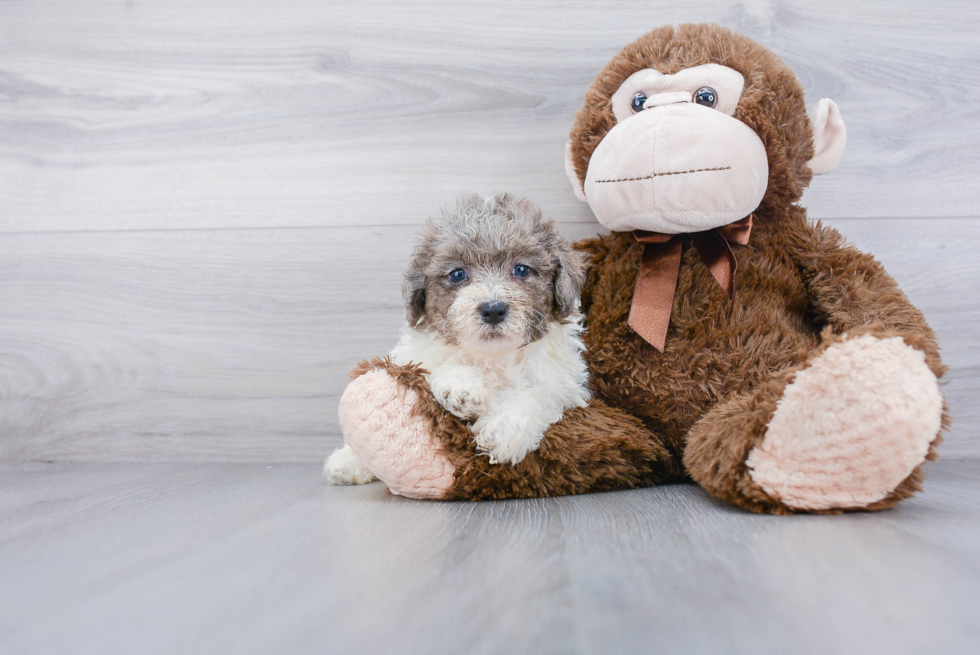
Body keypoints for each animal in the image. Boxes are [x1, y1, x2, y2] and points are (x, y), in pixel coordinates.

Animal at [328, 192, 588, 484]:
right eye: (457, 274)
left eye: (521, 270)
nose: (493, 309)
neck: (493, 356)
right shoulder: (415, 355)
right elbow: (433, 365)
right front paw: (463, 389)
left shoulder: (562, 383)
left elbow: (535, 395)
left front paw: (502, 431)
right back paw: (348, 461)